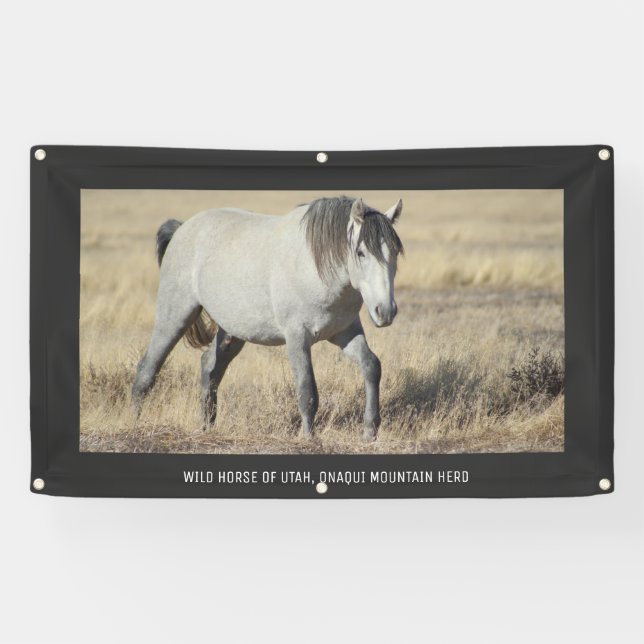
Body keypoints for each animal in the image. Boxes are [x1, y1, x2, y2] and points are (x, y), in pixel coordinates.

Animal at [132, 195, 404, 440]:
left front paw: (370, 430)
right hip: (175, 316)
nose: (385, 311)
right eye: (361, 252)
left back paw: (207, 427)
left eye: (395, 252)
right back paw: (135, 424)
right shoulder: (297, 337)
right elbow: (307, 389)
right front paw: (309, 437)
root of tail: (182, 228)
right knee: (147, 368)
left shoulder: (344, 332)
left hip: (232, 331)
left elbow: (371, 366)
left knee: (210, 367)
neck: (314, 267)